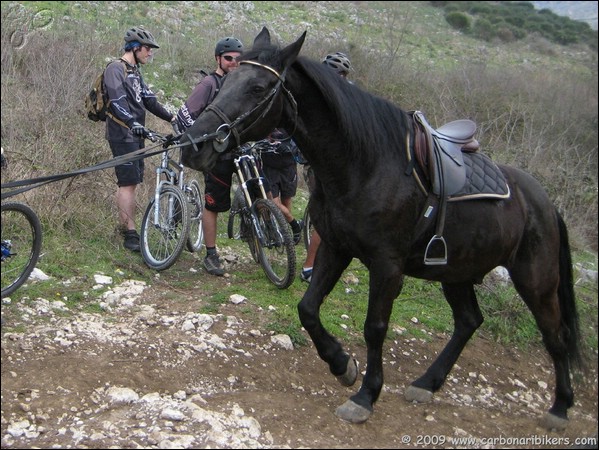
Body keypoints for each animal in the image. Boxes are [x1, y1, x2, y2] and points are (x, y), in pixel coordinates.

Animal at [179, 28, 580, 428]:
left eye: (258, 87)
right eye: (227, 79)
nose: (193, 145)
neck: (363, 164)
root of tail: (545, 202)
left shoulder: (387, 266)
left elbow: (374, 327)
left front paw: (366, 395)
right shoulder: (335, 248)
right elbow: (308, 309)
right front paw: (342, 365)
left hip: (536, 281)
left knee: (555, 335)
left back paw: (560, 407)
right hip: (457, 272)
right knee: (469, 321)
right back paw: (427, 383)